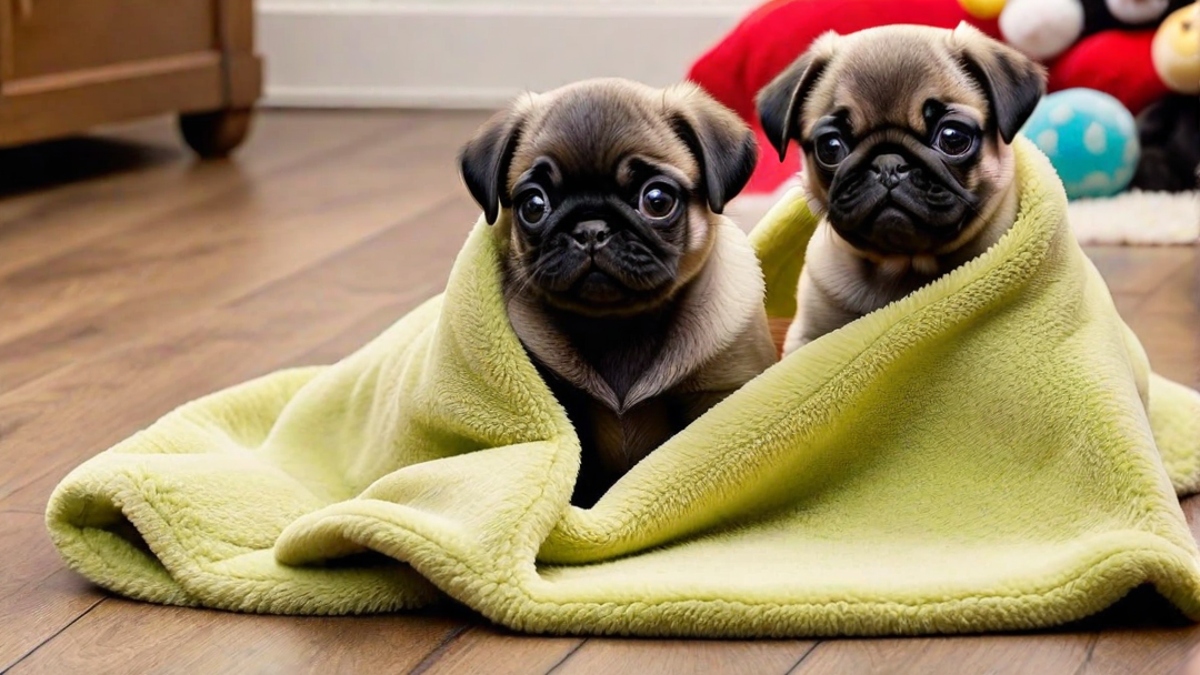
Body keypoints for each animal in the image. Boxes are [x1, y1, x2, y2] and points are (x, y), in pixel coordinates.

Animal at [458, 78, 777, 504]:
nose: (591, 228)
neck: (620, 327)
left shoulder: (716, 392)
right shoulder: (565, 408)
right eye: (534, 205)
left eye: (657, 200)